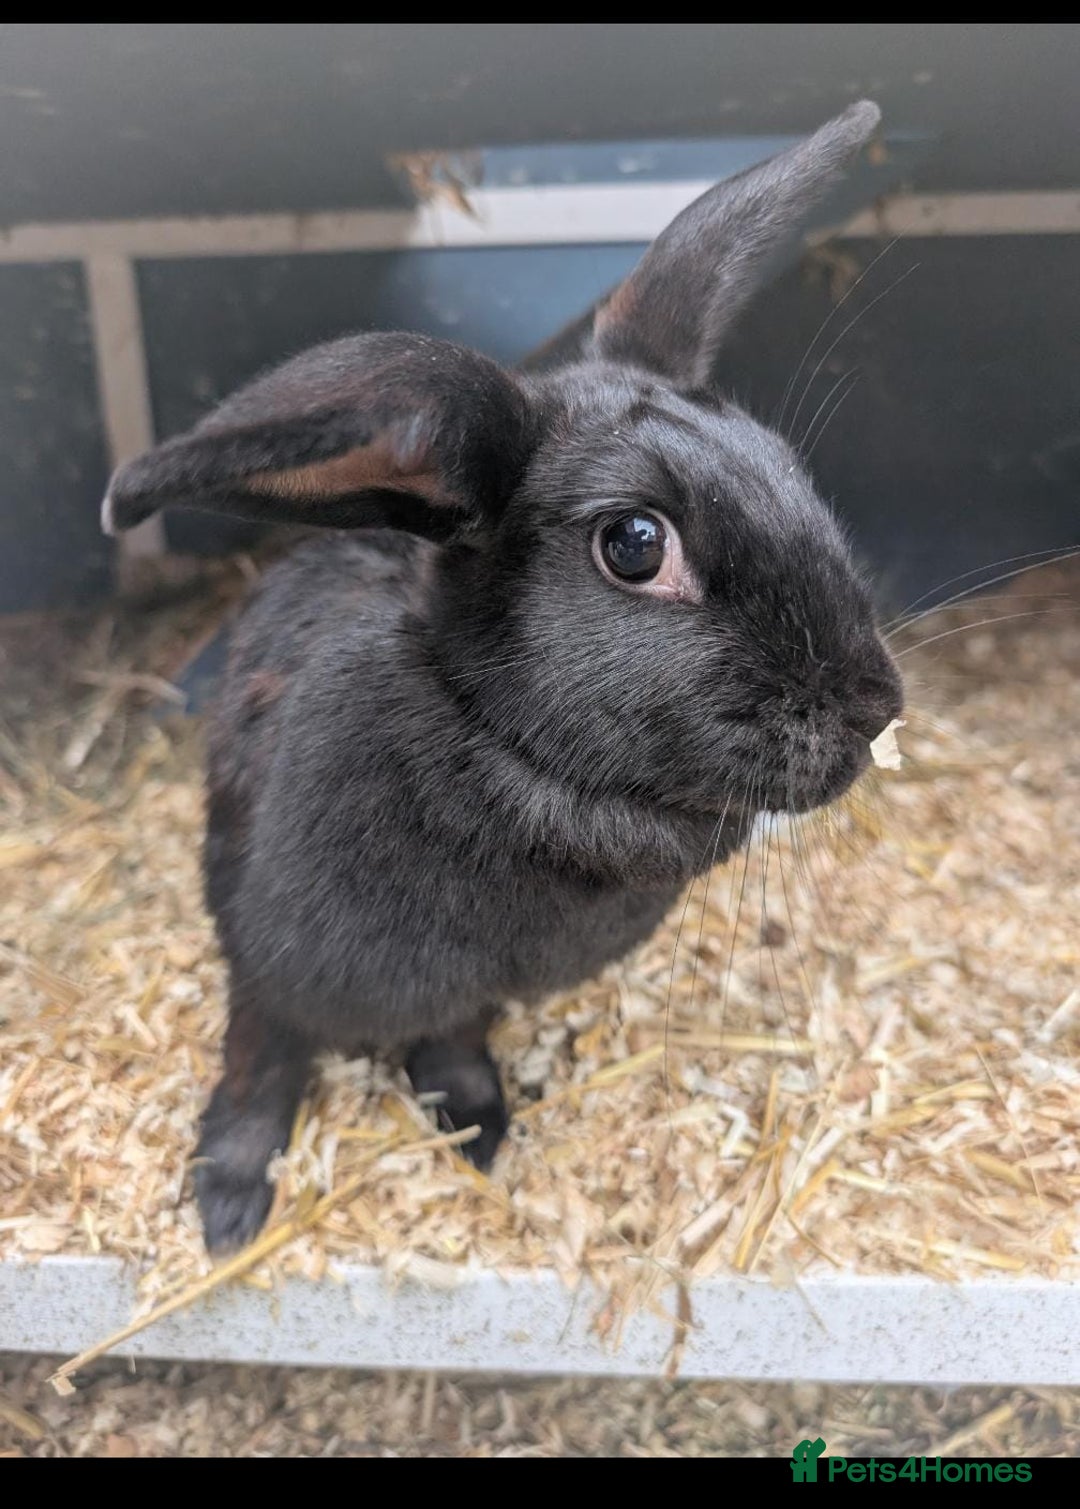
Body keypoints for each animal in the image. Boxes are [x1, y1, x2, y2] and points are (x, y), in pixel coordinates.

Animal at [103, 100, 903, 1253]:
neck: (504, 750)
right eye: (633, 545)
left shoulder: (463, 995)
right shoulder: (271, 966)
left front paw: (474, 1123)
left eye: (790, 472)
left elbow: (450, 1038)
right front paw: (228, 1202)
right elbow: (260, 1063)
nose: (877, 707)